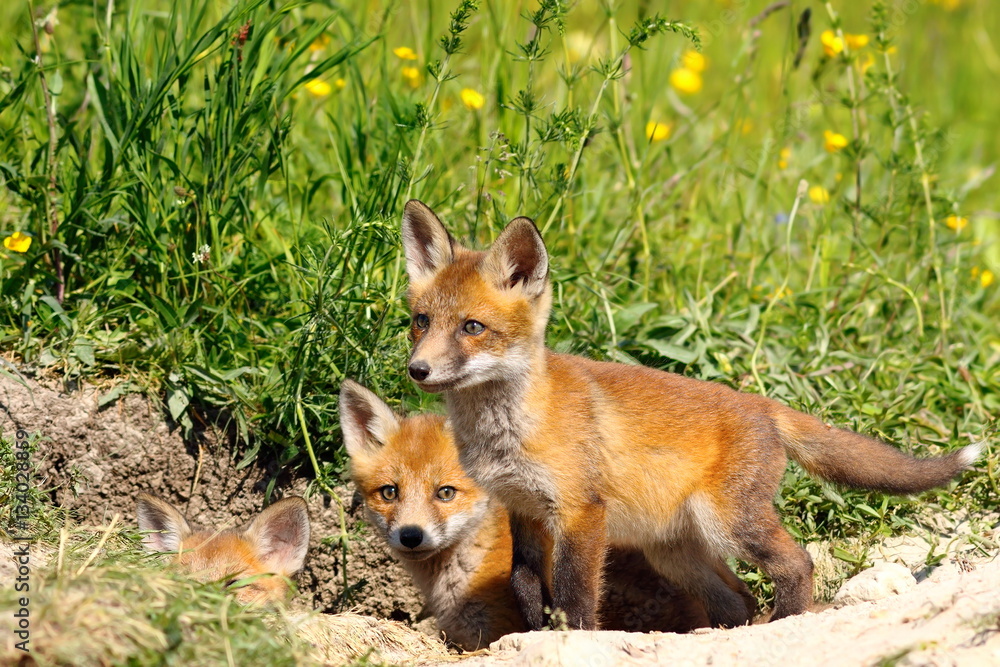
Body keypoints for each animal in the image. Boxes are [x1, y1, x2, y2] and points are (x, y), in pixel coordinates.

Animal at [399, 198, 983, 631]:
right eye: (421, 321)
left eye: (472, 327)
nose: (417, 370)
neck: (507, 431)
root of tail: (762, 403)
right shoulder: (523, 509)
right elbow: (525, 586)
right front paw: (537, 635)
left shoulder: (580, 511)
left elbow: (574, 595)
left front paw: (574, 641)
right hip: (677, 553)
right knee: (738, 599)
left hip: (728, 524)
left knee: (796, 565)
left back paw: (784, 623)